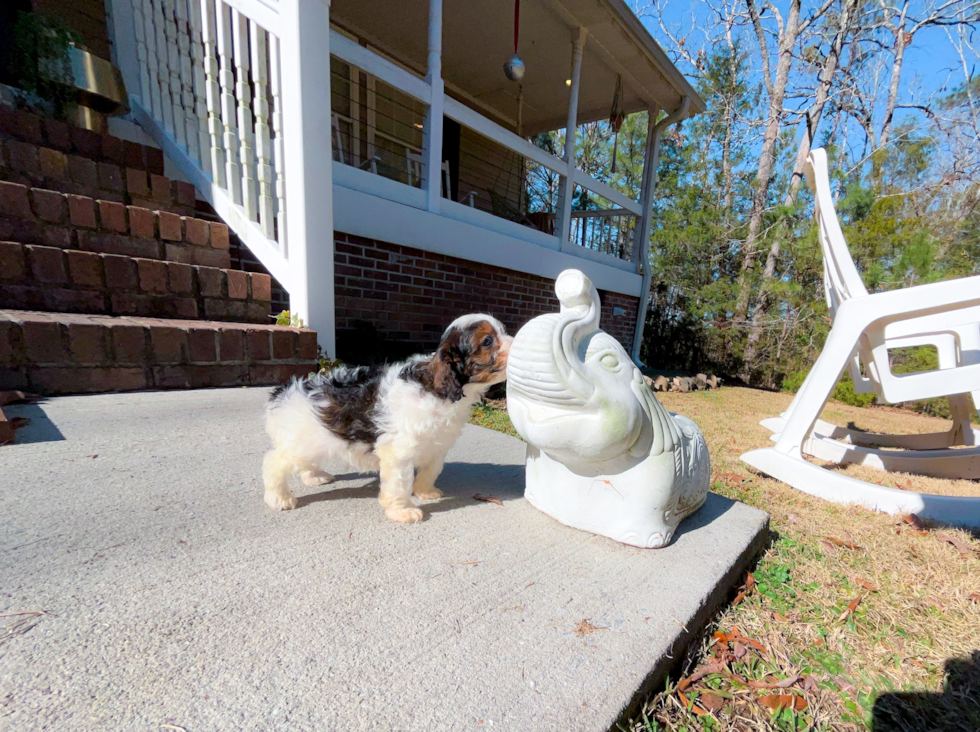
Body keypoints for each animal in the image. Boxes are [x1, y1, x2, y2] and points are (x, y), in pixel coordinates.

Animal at [264, 312, 516, 524]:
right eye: (487, 341)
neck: (436, 389)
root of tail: (283, 392)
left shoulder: (438, 444)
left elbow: (432, 469)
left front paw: (425, 492)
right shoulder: (399, 451)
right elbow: (400, 483)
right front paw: (402, 511)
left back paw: (314, 477)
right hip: (300, 440)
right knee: (274, 462)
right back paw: (279, 498)